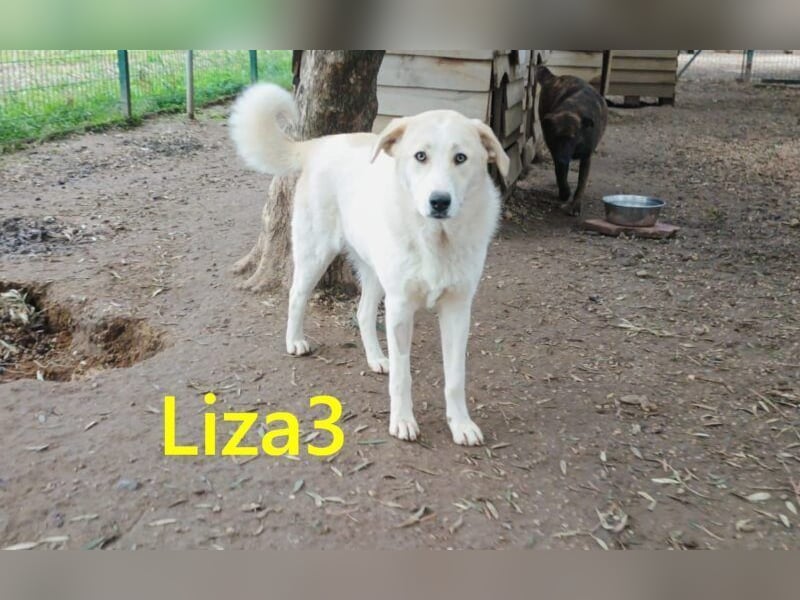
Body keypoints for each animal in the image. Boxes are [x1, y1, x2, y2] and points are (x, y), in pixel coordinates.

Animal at [229, 83, 509, 446]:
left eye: (460, 158)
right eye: (420, 156)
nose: (439, 201)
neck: (436, 239)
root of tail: (319, 144)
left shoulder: (458, 309)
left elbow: (455, 377)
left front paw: (460, 424)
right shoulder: (401, 308)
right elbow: (403, 377)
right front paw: (402, 421)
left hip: (374, 273)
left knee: (362, 314)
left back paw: (376, 358)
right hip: (315, 254)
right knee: (295, 296)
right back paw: (295, 342)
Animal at [536, 65, 608, 217]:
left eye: (572, 138)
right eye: (556, 136)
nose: (563, 159)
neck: (572, 110)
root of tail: (554, 77)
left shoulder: (586, 158)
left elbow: (581, 185)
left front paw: (575, 205)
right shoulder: (555, 151)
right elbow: (560, 175)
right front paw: (565, 192)